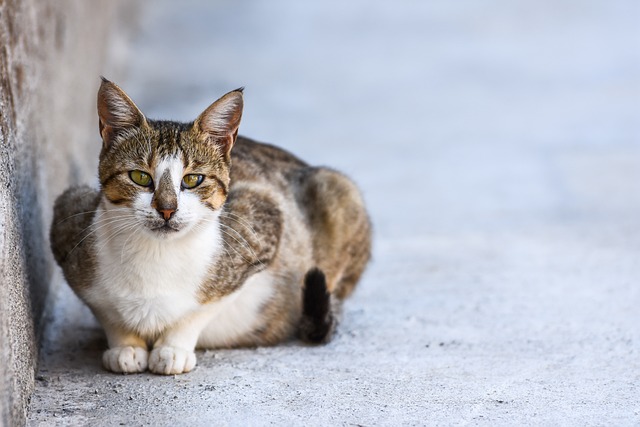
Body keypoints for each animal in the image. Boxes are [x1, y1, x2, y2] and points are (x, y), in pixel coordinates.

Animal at [50, 78, 372, 376]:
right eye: (140, 177)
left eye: (193, 179)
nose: (167, 208)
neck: (157, 254)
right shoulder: (68, 217)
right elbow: (106, 310)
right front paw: (125, 345)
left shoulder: (264, 218)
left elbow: (203, 306)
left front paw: (173, 348)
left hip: (338, 190)